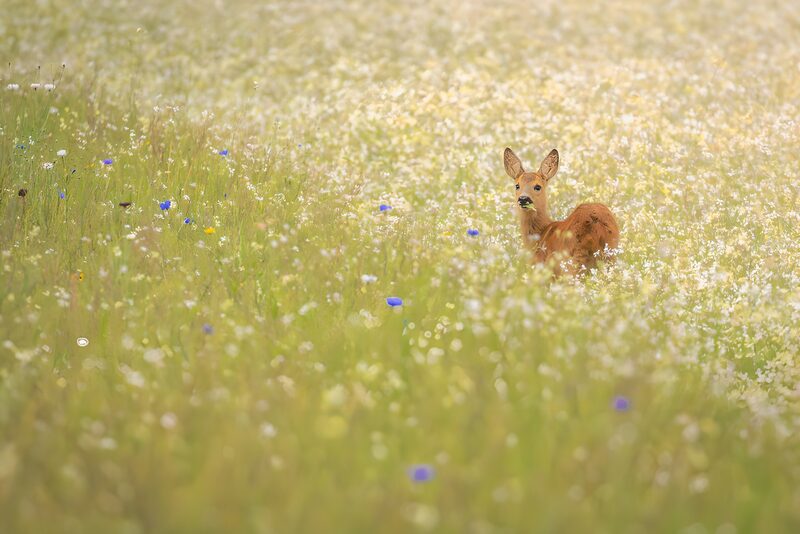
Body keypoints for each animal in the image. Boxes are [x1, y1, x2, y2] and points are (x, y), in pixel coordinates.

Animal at [503, 147, 619, 276]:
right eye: (517, 186)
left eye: (538, 187)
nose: (523, 198)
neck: (541, 234)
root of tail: (596, 225)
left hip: (572, 261)